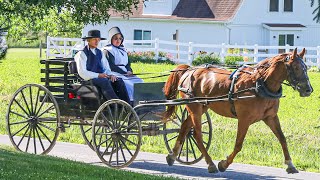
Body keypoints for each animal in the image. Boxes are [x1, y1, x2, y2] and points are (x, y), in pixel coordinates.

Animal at [164, 47, 314, 173]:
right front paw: (224, 164)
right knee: (197, 134)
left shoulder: (270, 117)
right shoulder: (244, 119)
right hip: (194, 108)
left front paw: (290, 164)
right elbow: (238, 144)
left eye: (306, 67)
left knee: (185, 127)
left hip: (201, 107)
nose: (308, 89)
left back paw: (172, 155)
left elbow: (282, 138)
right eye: (296, 67)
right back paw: (211, 163)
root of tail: (189, 70)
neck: (260, 84)